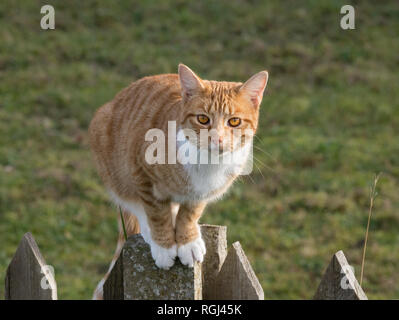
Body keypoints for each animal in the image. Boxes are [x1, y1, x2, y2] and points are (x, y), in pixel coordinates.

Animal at [89, 63, 270, 298]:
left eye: (234, 121)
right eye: (203, 119)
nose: (217, 139)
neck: (207, 164)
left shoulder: (201, 193)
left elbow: (189, 214)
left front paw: (188, 241)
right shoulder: (141, 173)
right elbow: (156, 213)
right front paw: (164, 245)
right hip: (111, 160)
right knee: (133, 203)